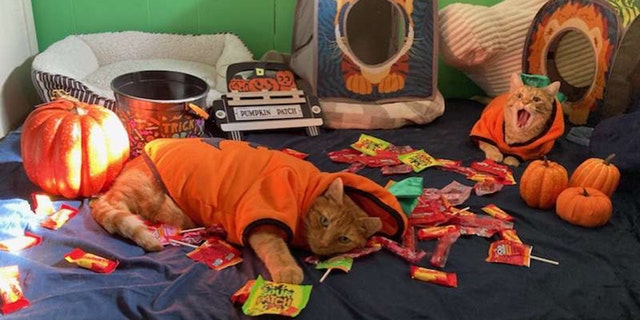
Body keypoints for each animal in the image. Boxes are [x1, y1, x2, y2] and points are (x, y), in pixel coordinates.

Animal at [90, 139, 404, 284]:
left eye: (343, 239)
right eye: (324, 221)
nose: (324, 243)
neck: (306, 193)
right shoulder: (263, 221)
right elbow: (277, 251)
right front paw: (289, 271)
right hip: (168, 207)